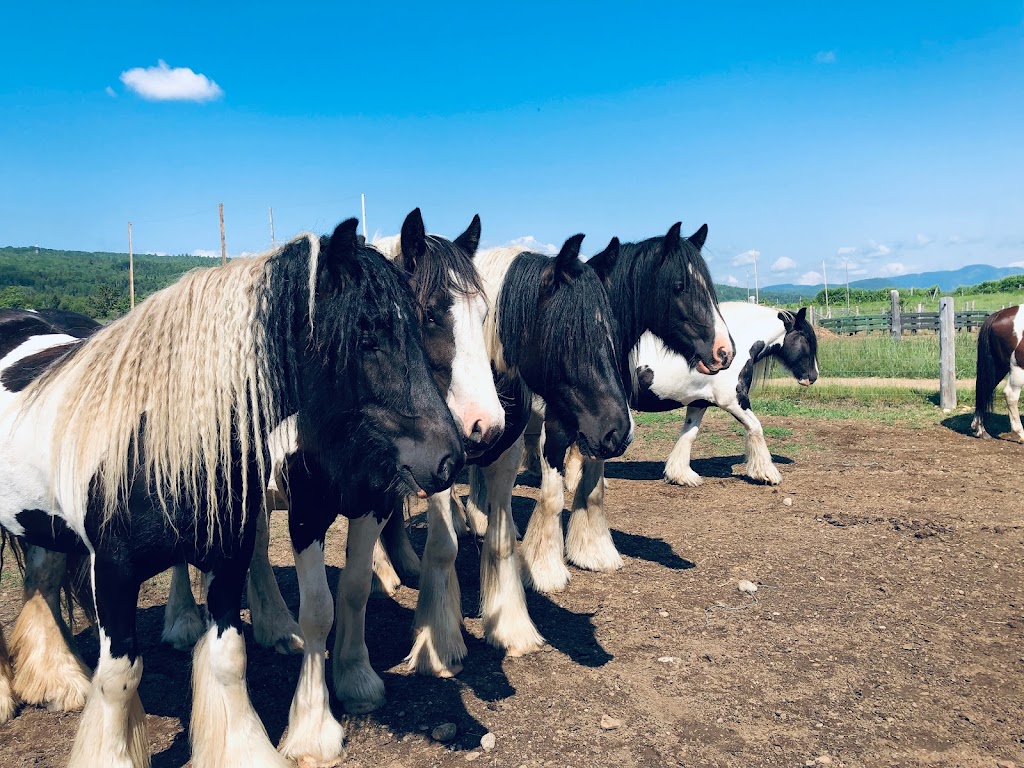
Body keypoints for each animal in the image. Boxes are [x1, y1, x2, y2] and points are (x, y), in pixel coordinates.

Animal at [0, 218, 460, 768]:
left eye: (419, 324)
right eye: (367, 335)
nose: (450, 457)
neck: (146, 437)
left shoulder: (228, 558)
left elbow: (228, 658)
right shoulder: (113, 571)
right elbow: (118, 678)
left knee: (42, 583)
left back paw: (59, 680)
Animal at [516, 222, 733, 593]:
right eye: (679, 286)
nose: (724, 352)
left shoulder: (604, 426)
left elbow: (593, 487)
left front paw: (592, 552)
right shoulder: (561, 425)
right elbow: (554, 493)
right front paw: (543, 569)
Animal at [626, 303, 819, 483]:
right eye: (807, 339)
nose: (813, 377)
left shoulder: (699, 403)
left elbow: (689, 434)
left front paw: (680, 475)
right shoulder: (733, 401)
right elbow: (756, 427)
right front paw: (766, 474)